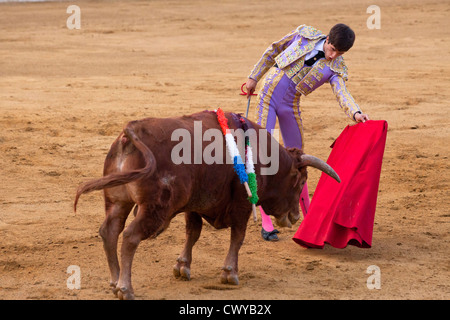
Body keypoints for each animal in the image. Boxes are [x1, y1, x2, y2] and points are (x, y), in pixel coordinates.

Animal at [74, 110, 342, 300]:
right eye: (301, 181)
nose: (295, 217)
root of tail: (130, 133)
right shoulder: (241, 204)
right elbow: (238, 237)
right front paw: (230, 273)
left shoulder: (194, 205)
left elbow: (193, 233)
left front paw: (182, 267)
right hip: (154, 209)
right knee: (130, 236)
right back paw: (125, 289)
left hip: (117, 202)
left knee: (110, 231)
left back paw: (114, 282)